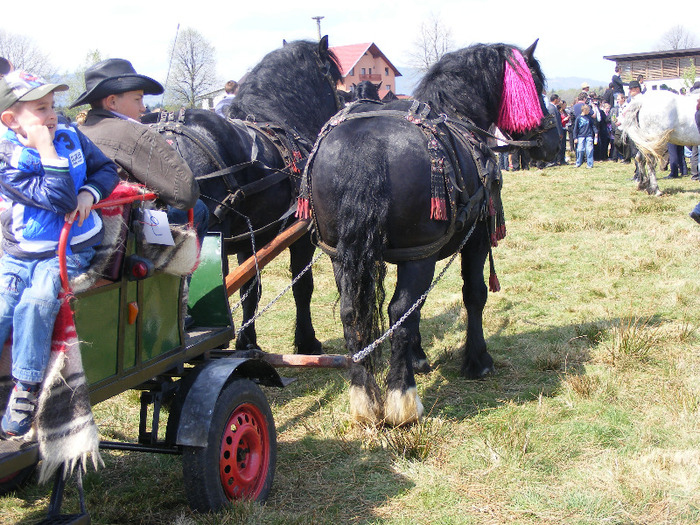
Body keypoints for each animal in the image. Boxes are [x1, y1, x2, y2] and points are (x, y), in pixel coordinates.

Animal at [150, 39, 342, 354]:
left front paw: (246, 340)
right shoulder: (300, 235)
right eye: (334, 78)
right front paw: (307, 340)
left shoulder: (248, 238)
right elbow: (302, 287)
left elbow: (249, 290)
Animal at [306, 41, 556, 426]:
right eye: (537, 84)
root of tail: (366, 146)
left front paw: (418, 357)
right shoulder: (473, 240)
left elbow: (417, 309)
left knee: (353, 315)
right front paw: (477, 360)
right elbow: (473, 295)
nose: (551, 139)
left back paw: (364, 400)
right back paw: (402, 399)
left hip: (340, 255)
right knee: (398, 312)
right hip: (419, 254)